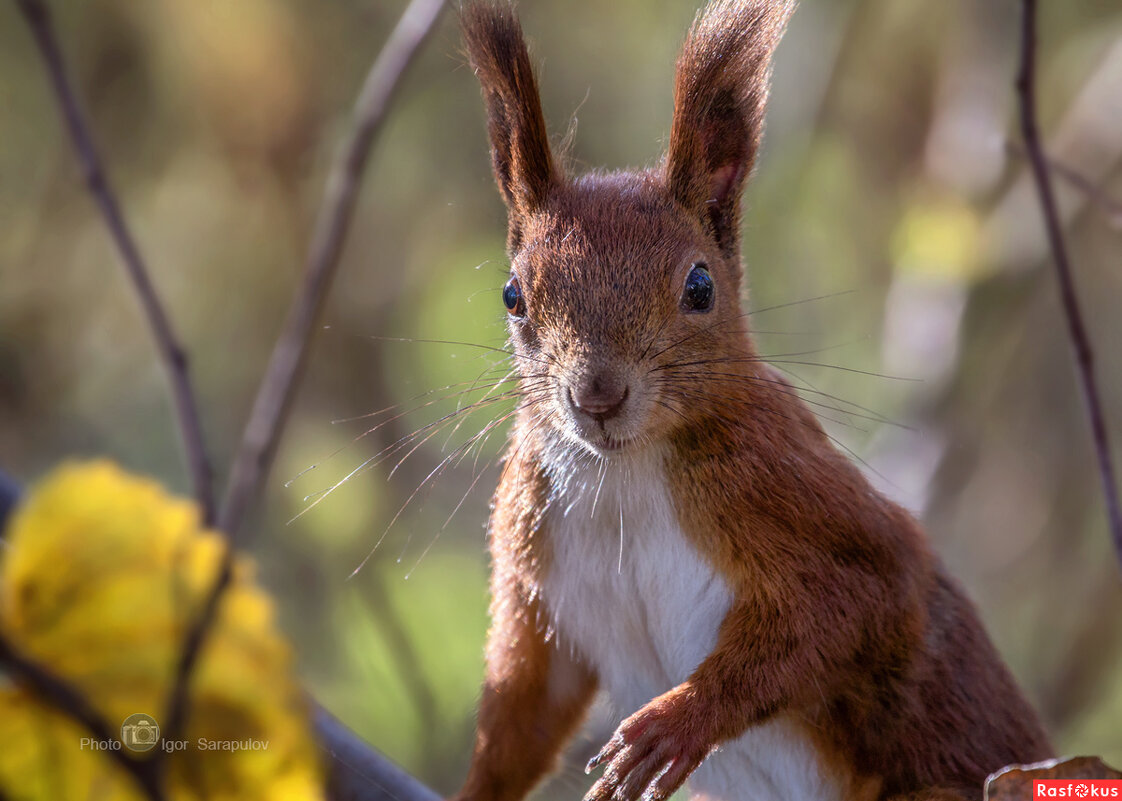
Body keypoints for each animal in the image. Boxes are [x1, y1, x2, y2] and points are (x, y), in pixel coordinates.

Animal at [448, 1, 1050, 798]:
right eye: (513, 295)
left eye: (700, 287)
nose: (597, 396)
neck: (623, 473)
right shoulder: (532, 558)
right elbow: (525, 703)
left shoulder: (794, 492)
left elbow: (858, 605)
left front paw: (679, 720)